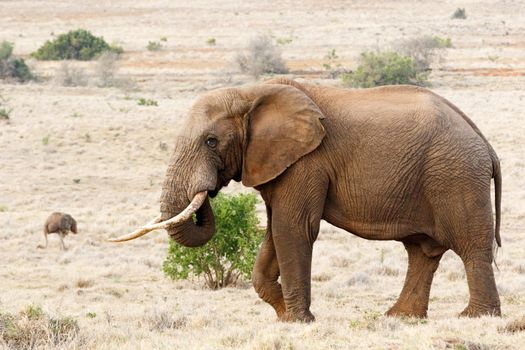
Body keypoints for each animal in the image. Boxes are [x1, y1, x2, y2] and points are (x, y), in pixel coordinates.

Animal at [113, 78, 500, 322]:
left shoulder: (306, 162)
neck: (251, 93)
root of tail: (485, 142)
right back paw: (401, 318)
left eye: (211, 141)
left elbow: (293, 228)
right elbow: (274, 231)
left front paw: (300, 321)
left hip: (456, 175)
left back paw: (475, 318)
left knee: (470, 245)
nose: (207, 192)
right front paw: (284, 316)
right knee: (422, 251)